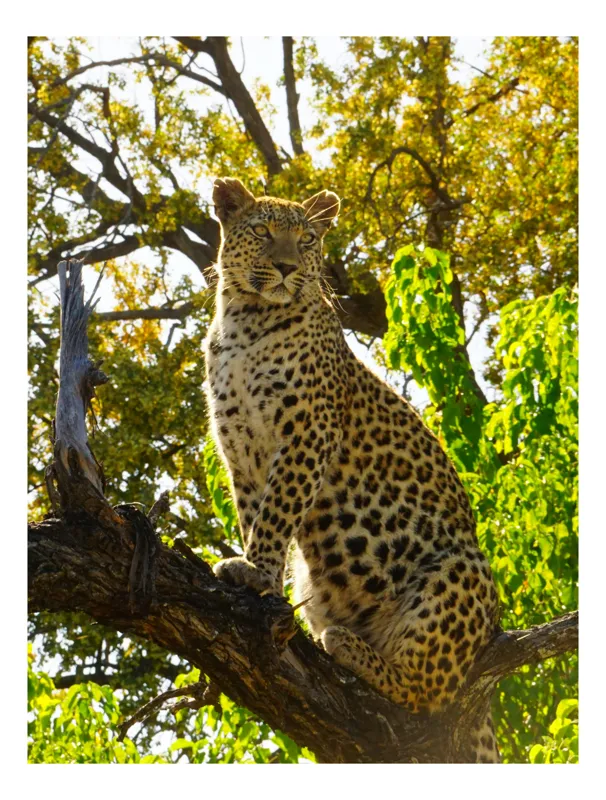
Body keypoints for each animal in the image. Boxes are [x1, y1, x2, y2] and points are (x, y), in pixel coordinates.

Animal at [204, 177, 501, 763]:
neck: (246, 319)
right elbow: (255, 513)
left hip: (462, 573)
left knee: (426, 693)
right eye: (263, 231)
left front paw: (257, 573)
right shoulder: (238, 446)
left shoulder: (306, 433)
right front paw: (257, 570)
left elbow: (276, 514)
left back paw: (349, 648)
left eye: (308, 240)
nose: (288, 267)